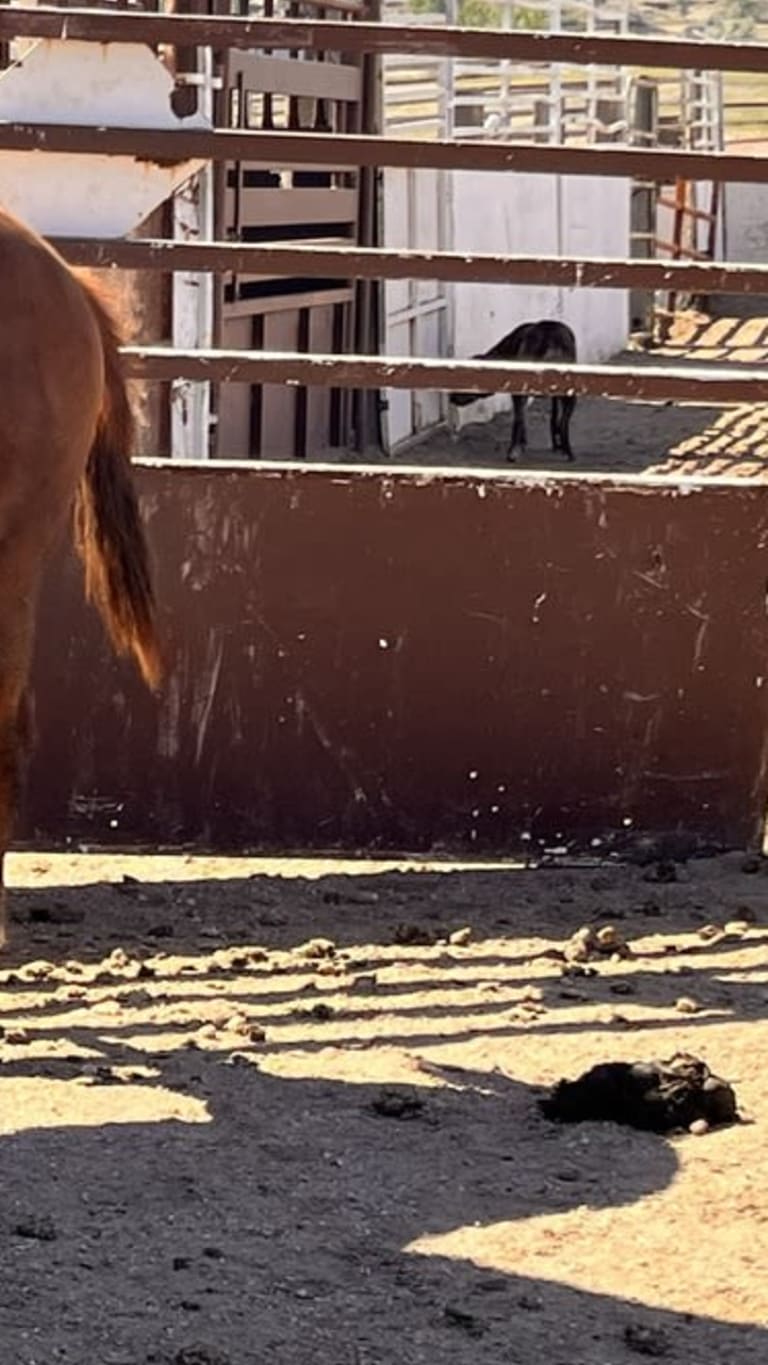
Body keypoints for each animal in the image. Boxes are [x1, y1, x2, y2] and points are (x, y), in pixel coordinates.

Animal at [449, 319, 578, 462]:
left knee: (520, 419)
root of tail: (551, 339)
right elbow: (552, 416)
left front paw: (519, 445)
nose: (450, 396)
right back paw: (568, 452)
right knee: (564, 422)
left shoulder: (517, 392)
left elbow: (519, 419)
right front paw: (556, 444)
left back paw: (513, 451)